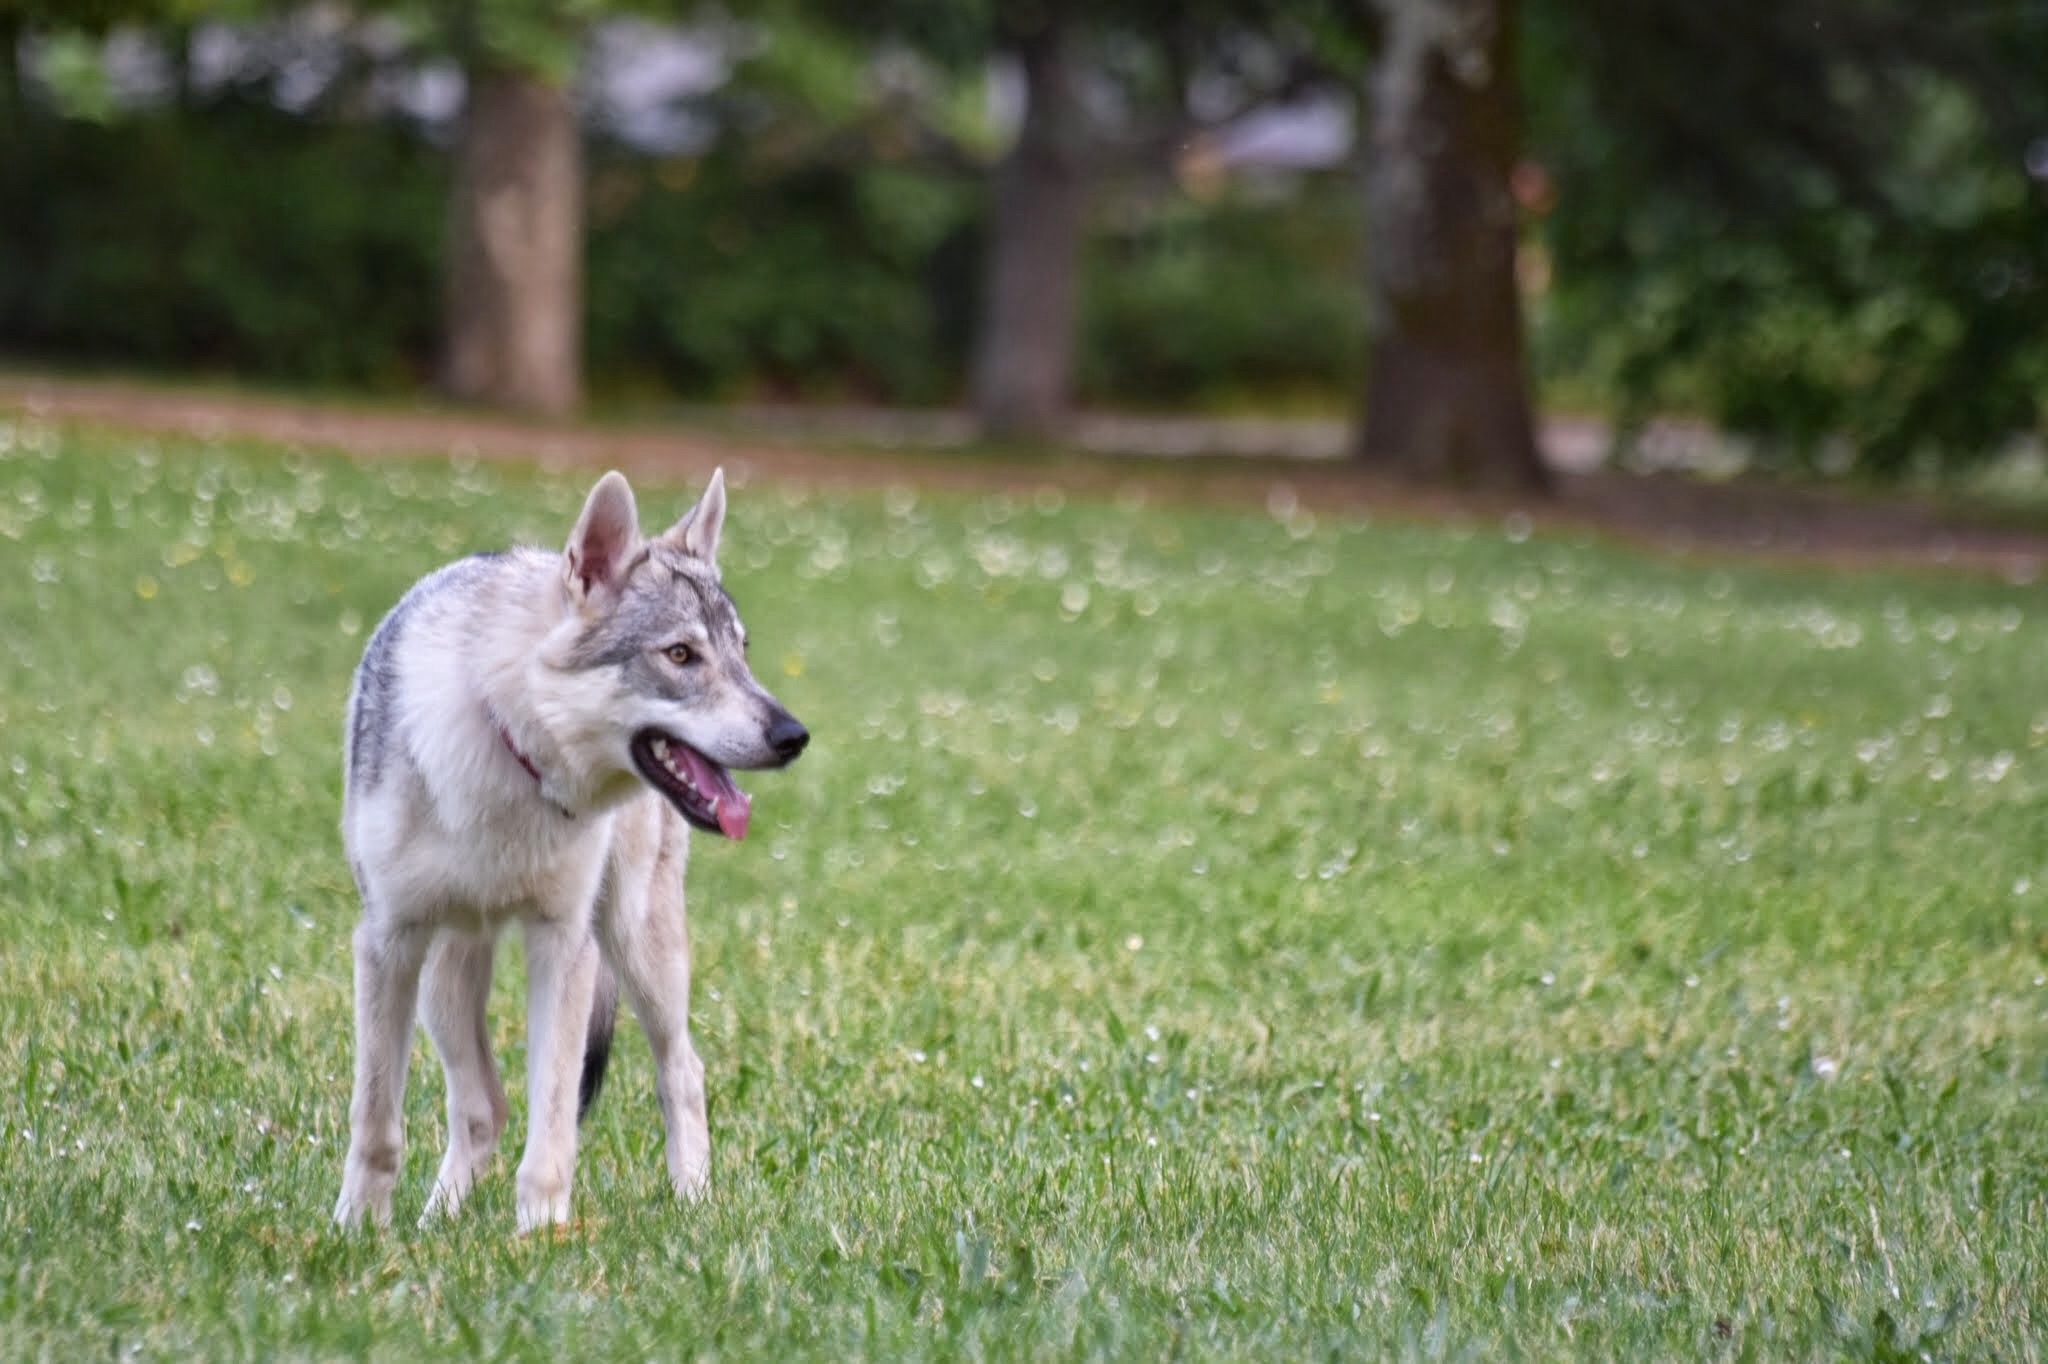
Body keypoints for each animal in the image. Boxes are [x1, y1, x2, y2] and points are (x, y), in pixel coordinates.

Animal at [331, 467, 807, 1232]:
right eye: (681, 655)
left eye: (742, 651)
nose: (794, 736)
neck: (509, 753)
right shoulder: (388, 941)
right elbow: (376, 1122)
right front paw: (357, 1231)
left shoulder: (564, 943)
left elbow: (552, 1123)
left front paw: (542, 1235)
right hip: (443, 980)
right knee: (483, 1106)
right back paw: (439, 1223)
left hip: (638, 947)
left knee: (683, 1072)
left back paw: (693, 1203)